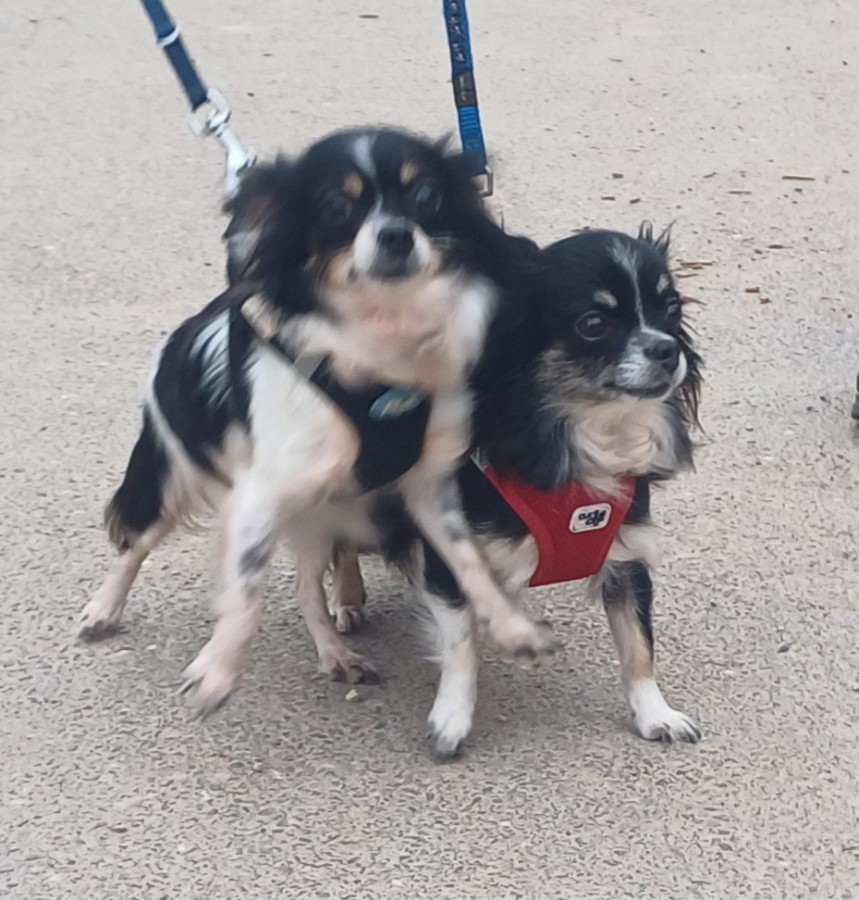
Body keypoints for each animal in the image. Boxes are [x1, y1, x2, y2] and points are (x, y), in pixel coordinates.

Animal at [78, 128, 556, 713]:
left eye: (425, 196)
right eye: (336, 207)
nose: (396, 235)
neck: (383, 339)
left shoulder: (428, 487)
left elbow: (469, 562)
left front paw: (513, 628)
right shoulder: (262, 492)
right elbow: (245, 588)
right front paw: (217, 671)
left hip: (318, 516)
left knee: (307, 588)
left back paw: (336, 654)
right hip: (172, 477)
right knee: (135, 542)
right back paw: (103, 609)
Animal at [329, 225, 703, 756]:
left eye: (670, 309)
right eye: (593, 323)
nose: (668, 349)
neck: (585, 432)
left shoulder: (627, 555)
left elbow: (638, 645)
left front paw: (655, 714)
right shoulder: (448, 554)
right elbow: (460, 643)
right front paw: (452, 719)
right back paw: (346, 600)